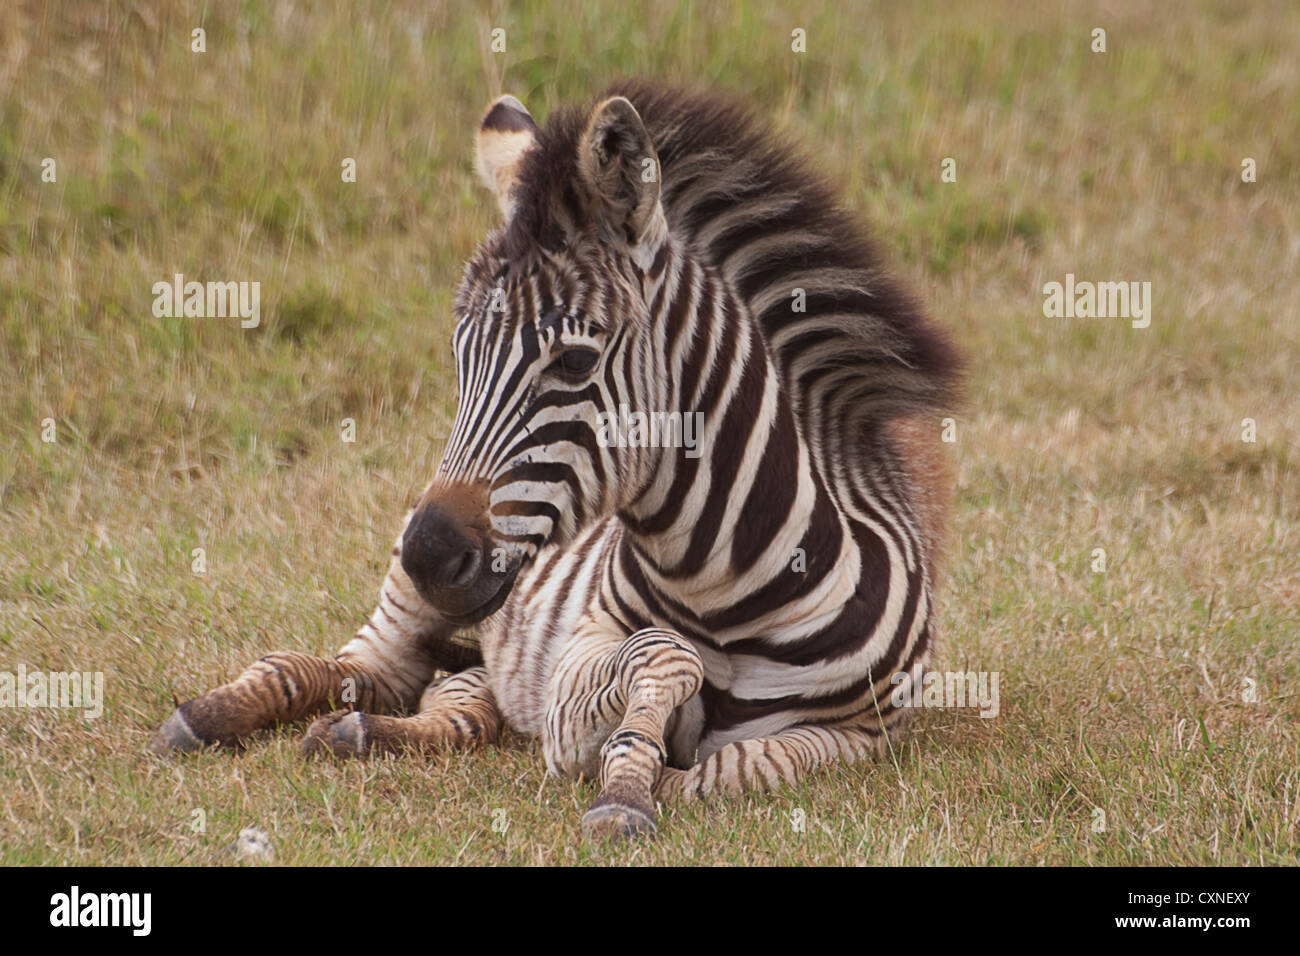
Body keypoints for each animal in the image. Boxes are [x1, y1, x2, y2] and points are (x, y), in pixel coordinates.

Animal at [154, 83, 967, 842]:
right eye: (461, 359)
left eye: (574, 361)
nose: (429, 555)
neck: (726, 590)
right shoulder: (575, 668)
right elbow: (661, 656)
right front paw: (629, 777)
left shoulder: (863, 734)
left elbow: (735, 767)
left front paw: (644, 782)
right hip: (408, 602)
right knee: (354, 667)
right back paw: (209, 715)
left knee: (451, 700)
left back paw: (366, 732)